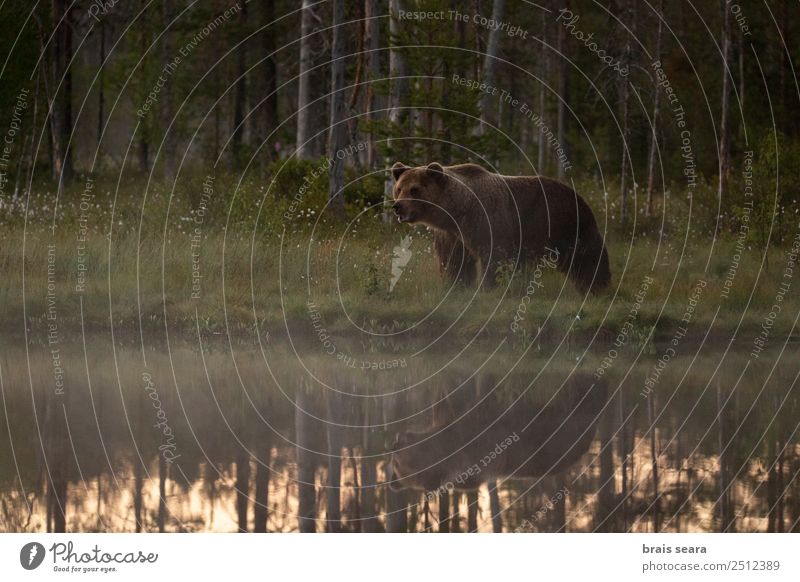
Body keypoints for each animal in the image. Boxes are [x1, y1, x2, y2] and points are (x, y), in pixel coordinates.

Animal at [390, 163, 608, 292]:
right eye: (398, 189)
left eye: (414, 189)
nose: (397, 206)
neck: (458, 211)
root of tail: (580, 196)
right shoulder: (450, 234)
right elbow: (454, 260)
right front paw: (455, 286)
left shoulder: (489, 221)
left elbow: (495, 256)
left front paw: (490, 288)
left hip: (568, 225)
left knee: (587, 258)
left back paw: (597, 286)